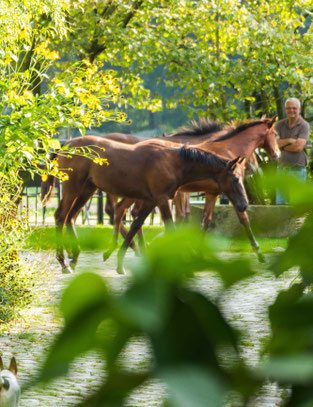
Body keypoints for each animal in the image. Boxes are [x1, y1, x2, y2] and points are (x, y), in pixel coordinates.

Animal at [41, 137, 247, 274]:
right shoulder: (162, 200)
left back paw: (74, 258)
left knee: (71, 217)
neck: (173, 161)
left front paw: (120, 264)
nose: (244, 205)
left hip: (88, 189)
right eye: (235, 179)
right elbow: (169, 228)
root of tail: (65, 146)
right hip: (73, 187)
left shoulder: (151, 201)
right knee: (61, 216)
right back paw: (64, 262)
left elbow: (135, 226)